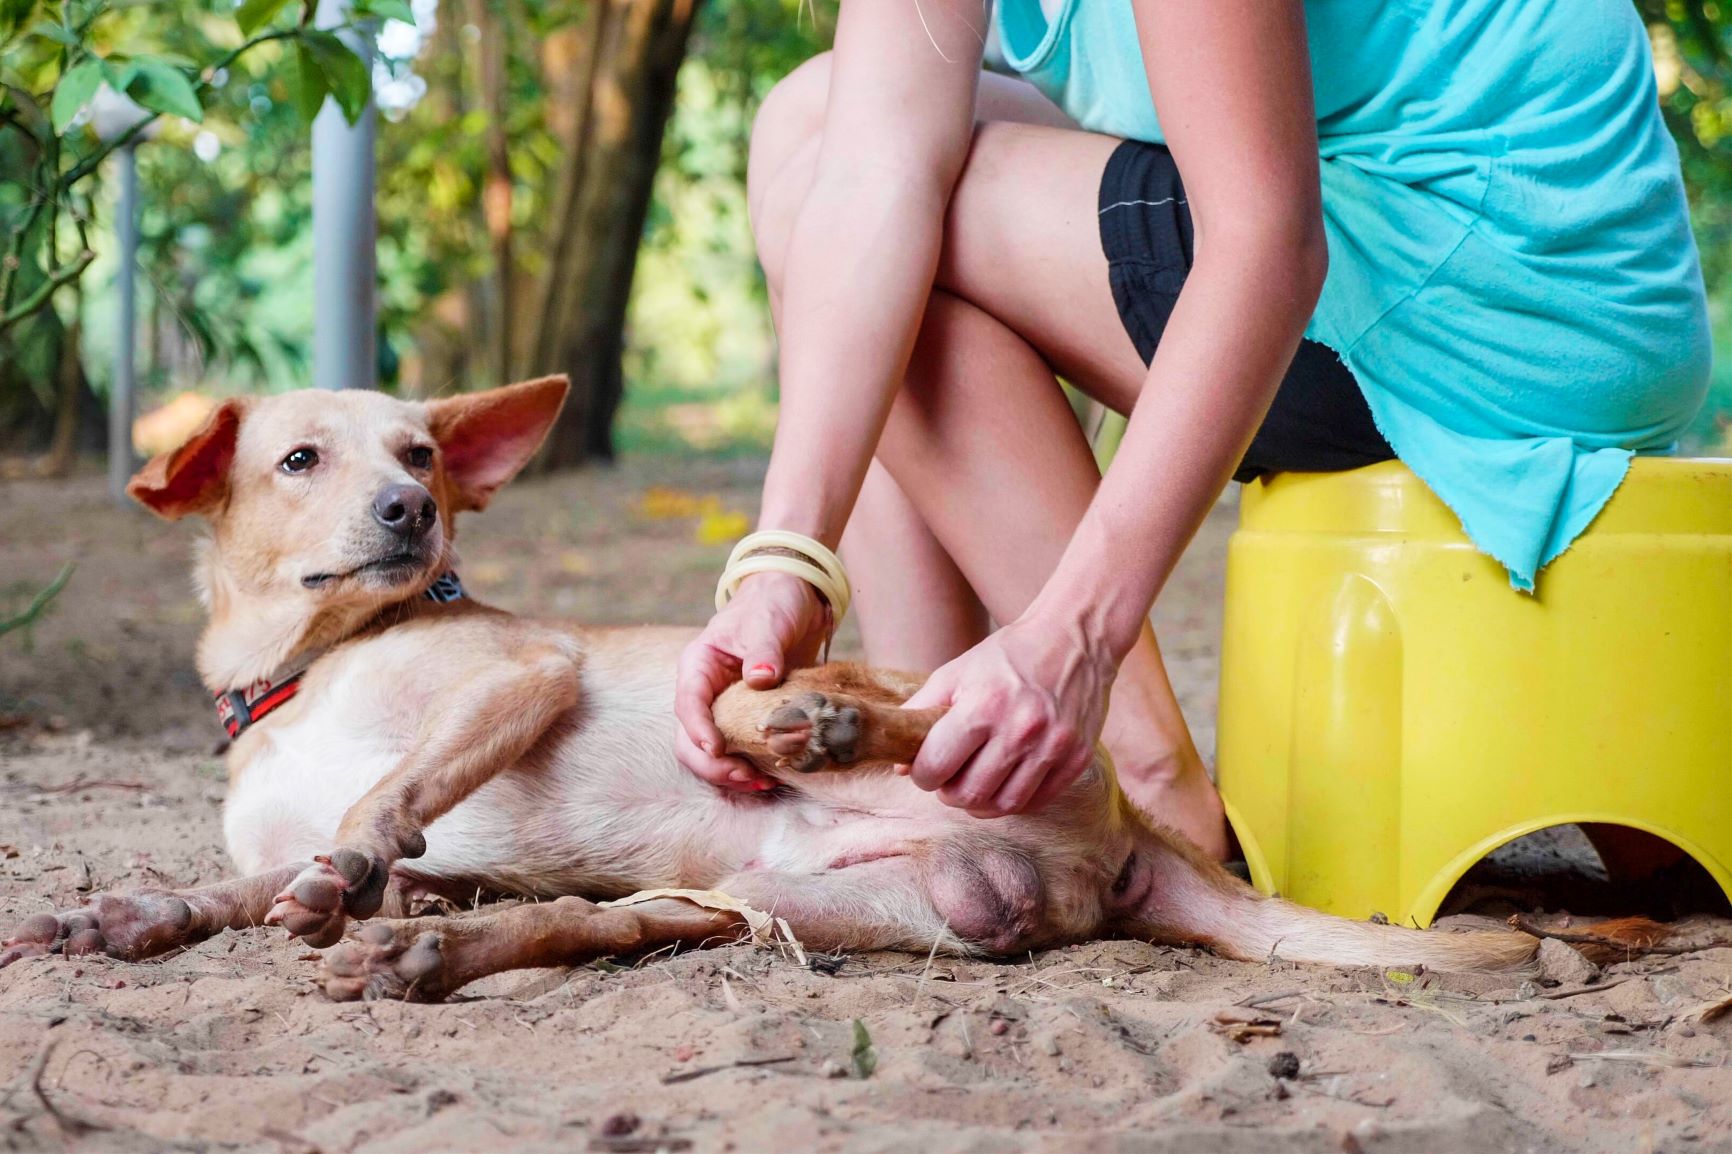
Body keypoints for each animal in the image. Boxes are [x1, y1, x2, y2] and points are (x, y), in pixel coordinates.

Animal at [3, 377, 1544, 998]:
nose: (410, 514)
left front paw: (357, 861)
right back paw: (433, 955)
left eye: (421, 455)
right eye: (300, 460)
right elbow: (248, 884)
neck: (297, 681)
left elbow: (391, 793)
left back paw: (803, 716)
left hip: (934, 705)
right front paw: (127, 915)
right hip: (763, 899)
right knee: (595, 925)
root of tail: (1132, 848)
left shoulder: (519, 674)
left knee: (905, 708)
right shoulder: (334, 848)